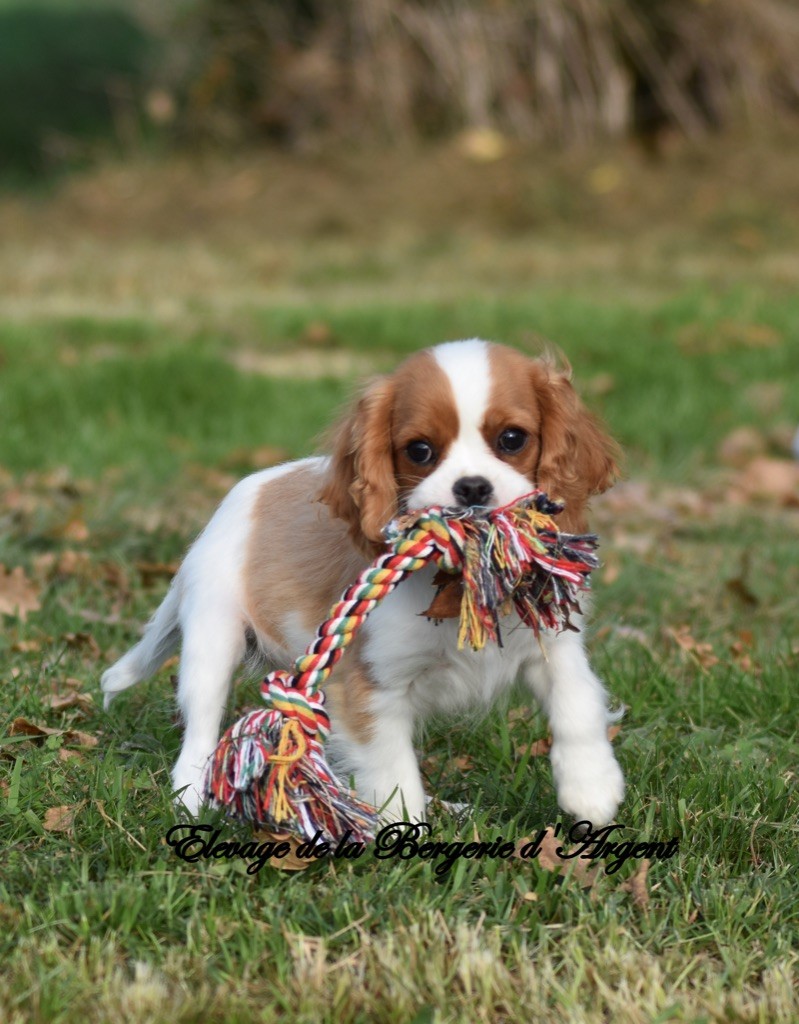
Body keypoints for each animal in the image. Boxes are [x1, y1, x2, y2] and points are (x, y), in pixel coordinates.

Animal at [101, 342, 622, 823]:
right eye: (420, 450)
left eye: (513, 439)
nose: (472, 487)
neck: (460, 582)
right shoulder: (368, 688)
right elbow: (394, 776)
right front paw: (405, 833)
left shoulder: (551, 645)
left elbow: (578, 702)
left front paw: (591, 788)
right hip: (213, 637)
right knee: (201, 724)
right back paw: (191, 797)